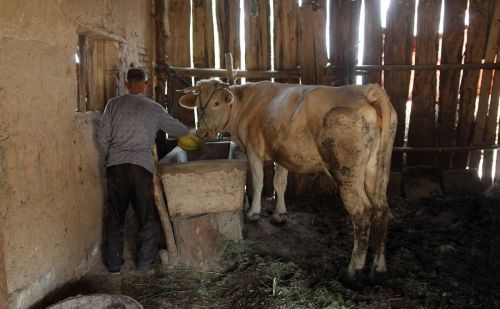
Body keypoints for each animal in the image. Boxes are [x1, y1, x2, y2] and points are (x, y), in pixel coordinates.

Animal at [178, 79, 396, 282]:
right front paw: (280, 215)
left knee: (361, 211)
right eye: (198, 104)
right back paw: (380, 269)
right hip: (378, 169)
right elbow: (279, 184)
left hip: (347, 170)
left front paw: (253, 213)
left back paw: (353, 271)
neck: (245, 104)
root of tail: (367, 89)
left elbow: (258, 183)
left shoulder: (254, 150)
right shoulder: (281, 153)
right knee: (381, 209)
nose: (201, 132)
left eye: (216, 103)